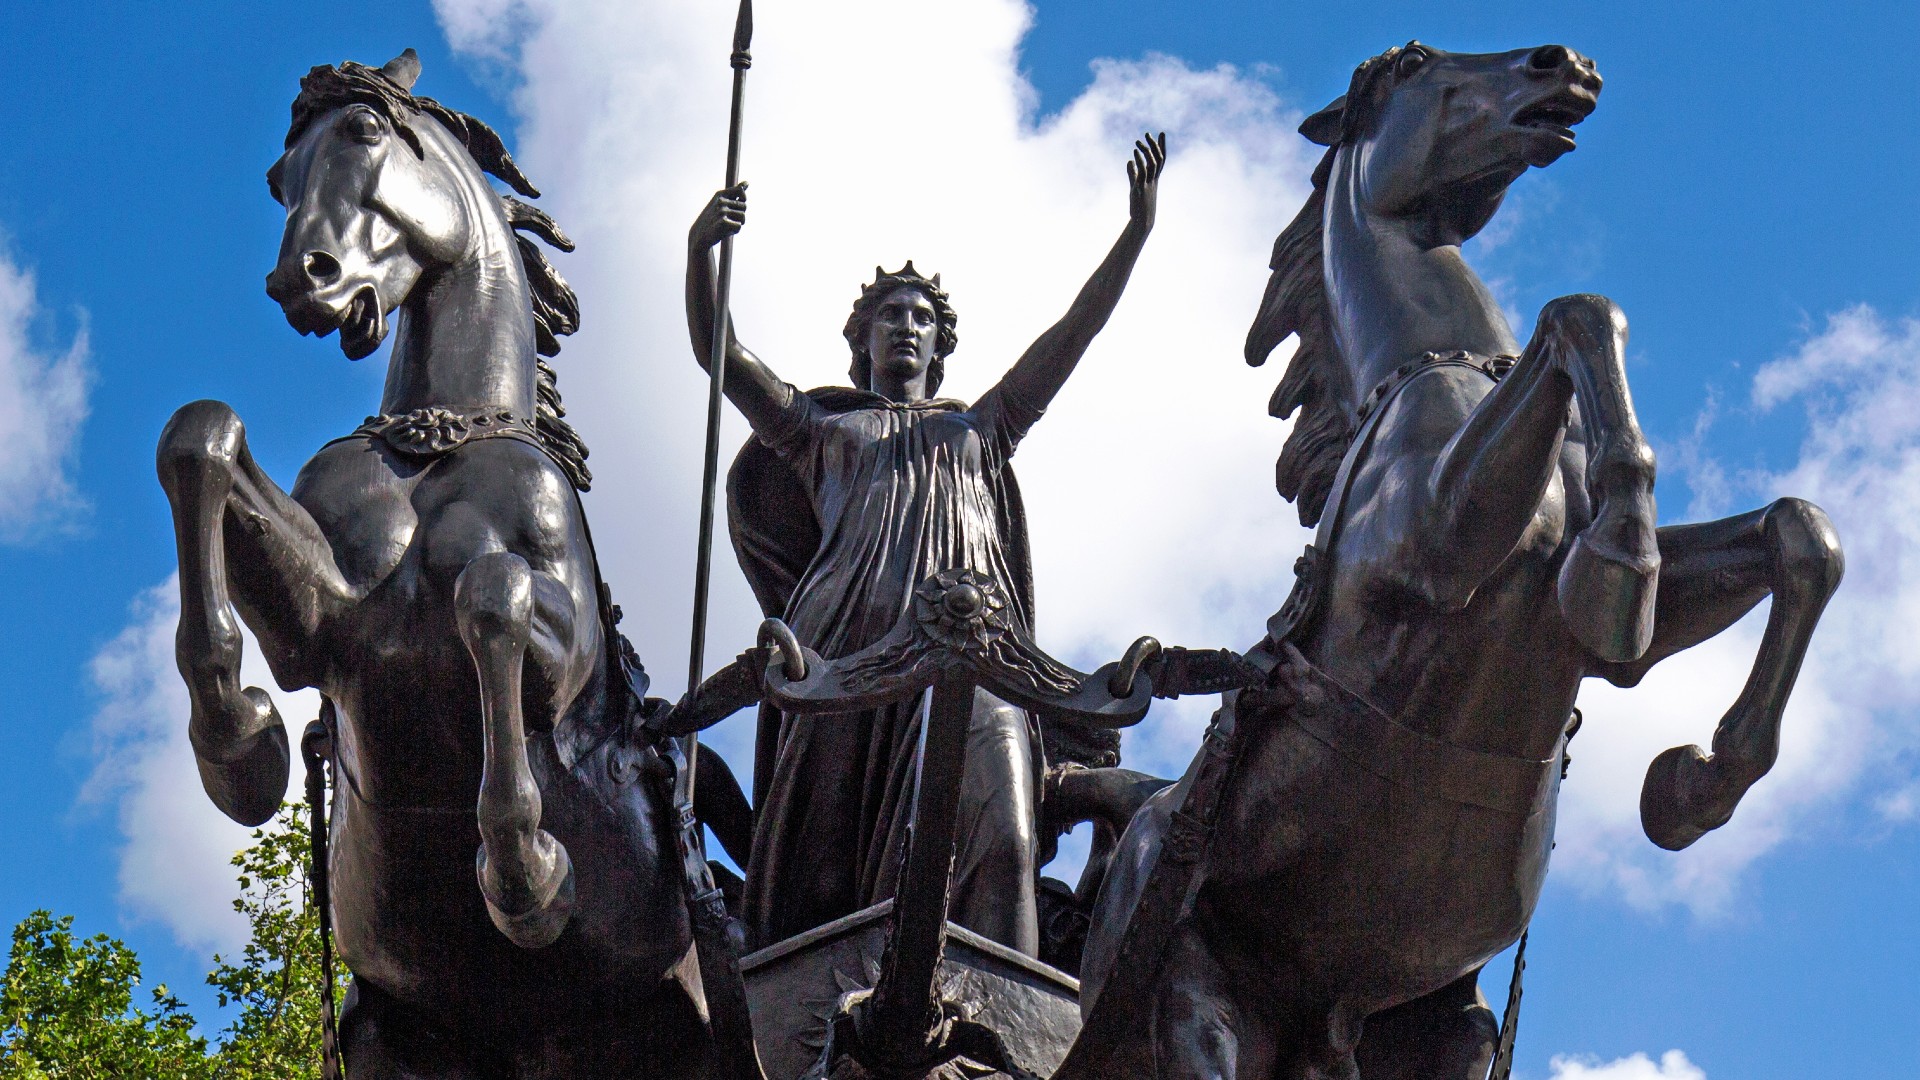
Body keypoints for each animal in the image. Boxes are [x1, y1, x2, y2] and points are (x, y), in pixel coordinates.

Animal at [157, 52, 721, 1076]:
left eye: (364, 133)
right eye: (279, 177)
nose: (303, 280)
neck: (437, 438)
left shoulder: (561, 661)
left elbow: (491, 595)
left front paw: (528, 873)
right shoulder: (327, 629)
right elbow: (201, 435)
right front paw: (242, 745)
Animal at [1082, 39, 1843, 1068]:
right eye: (1411, 62)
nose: (1565, 62)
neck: (1443, 372)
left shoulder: (1590, 622)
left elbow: (1797, 533)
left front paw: (1695, 782)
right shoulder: (1439, 541)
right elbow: (1579, 312)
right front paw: (1620, 567)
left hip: (1433, 1026)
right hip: (1188, 999)